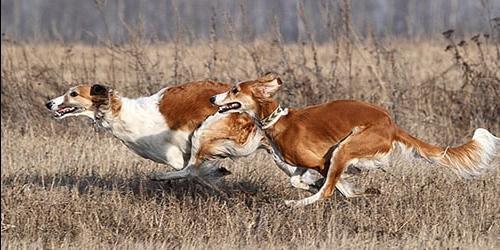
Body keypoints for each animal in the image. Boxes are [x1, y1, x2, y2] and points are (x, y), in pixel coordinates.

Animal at [45, 81, 322, 190]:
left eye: (73, 94)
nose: (48, 103)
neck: (123, 113)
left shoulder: (176, 156)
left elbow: (193, 171)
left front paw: (217, 174)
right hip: (278, 155)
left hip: (206, 128)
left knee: (189, 170)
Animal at [212, 73, 500, 207]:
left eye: (235, 90)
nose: (213, 98)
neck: (277, 120)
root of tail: (390, 123)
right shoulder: (307, 164)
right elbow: (299, 179)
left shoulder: (322, 161)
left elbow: (328, 185)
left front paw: (318, 188)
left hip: (345, 146)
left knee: (328, 191)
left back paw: (296, 203)